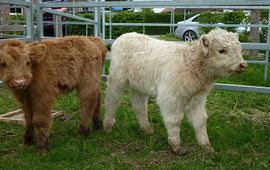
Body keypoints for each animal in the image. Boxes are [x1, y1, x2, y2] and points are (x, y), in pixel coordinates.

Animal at [103, 28, 247, 153]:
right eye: (222, 50)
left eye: (239, 49)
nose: (243, 65)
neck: (191, 64)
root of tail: (127, 35)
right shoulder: (170, 97)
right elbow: (175, 120)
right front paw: (176, 145)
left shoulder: (198, 98)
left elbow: (200, 120)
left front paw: (206, 146)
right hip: (117, 78)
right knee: (112, 99)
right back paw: (108, 125)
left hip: (139, 84)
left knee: (139, 104)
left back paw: (146, 129)